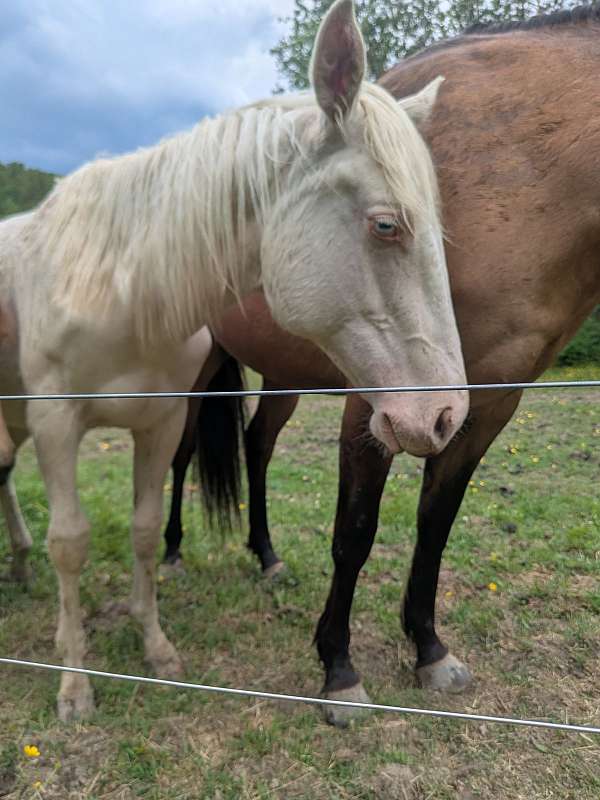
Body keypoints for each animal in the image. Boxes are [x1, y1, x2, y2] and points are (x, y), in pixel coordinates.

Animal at [0, 0, 467, 720]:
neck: (117, 291)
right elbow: (70, 545)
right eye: (387, 225)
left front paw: (156, 649)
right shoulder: (56, 426)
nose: (445, 416)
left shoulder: (160, 423)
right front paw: (74, 686)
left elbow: (142, 531)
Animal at [163, 3, 600, 726]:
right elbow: (356, 532)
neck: (522, 171)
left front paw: (428, 649)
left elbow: (435, 525)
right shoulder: (375, 404)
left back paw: (267, 556)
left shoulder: (479, 407)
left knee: (257, 446)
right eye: (389, 227)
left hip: (283, 378)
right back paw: (170, 550)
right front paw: (339, 671)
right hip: (199, 370)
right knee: (183, 453)